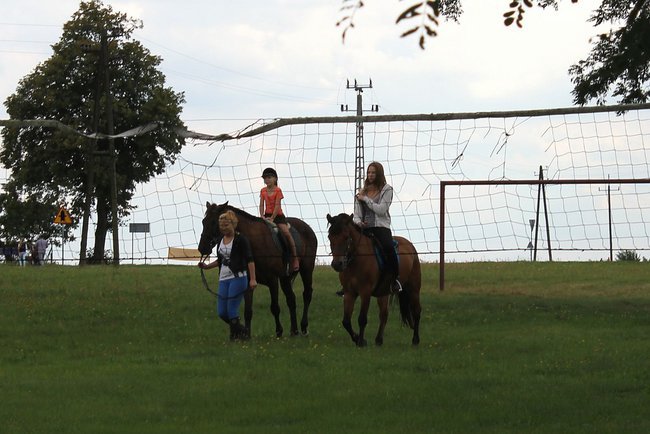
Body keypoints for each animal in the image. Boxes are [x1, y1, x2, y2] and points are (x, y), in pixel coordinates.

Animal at [199, 202, 318, 338]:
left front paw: (279, 332)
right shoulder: (248, 282)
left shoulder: (273, 280)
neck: (255, 241)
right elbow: (248, 311)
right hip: (285, 278)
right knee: (291, 299)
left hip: (306, 270)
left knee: (307, 294)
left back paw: (303, 327)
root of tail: (308, 228)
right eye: (203, 221)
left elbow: (275, 307)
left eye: (214, 222)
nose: (202, 248)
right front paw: (246, 334)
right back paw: (294, 330)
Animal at [324, 212, 420, 348]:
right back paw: (379, 340)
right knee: (384, 315)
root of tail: (410, 245)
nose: (337, 264)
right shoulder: (349, 293)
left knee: (417, 312)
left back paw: (415, 340)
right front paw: (357, 338)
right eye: (330, 237)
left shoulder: (365, 292)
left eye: (346, 237)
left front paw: (361, 342)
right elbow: (346, 321)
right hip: (384, 292)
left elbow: (362, 319)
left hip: (414, 289)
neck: (356, 260)